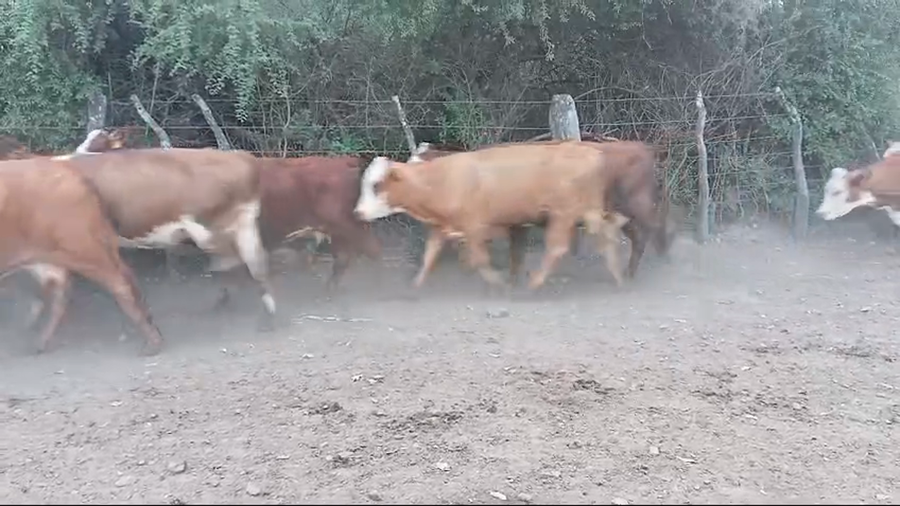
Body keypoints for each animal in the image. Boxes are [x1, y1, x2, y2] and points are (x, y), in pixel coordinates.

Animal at [354, 141, 631, 290]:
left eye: (376, 185)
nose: (358, 212)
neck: (442, 180)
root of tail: (590, 152)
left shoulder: (475, 227)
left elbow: (480, 259)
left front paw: (498, 284)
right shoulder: (442, 228)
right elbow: (429, 256)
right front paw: (414, 287)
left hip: (563, 214)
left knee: (558, 248)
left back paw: (534, 284)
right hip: (589, 211)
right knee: (608, 233)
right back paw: (618, 277)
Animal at [408, 139, 674, 280]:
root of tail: (641, 147)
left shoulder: (515, 223)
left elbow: (515, 253)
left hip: (637, 204)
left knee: (652, 227)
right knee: (641, 234)